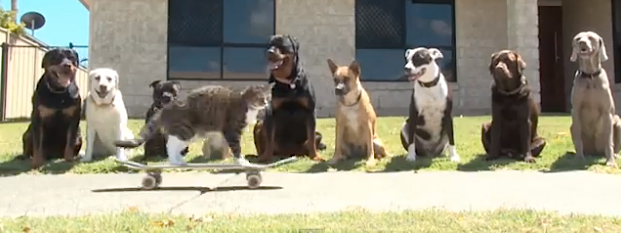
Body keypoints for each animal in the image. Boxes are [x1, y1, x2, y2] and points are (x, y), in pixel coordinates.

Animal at [114, 83, 274, 165]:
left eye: (269, 97)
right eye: (261, 98)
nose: (266, 103)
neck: (245, 103)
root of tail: (167, 107)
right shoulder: (232, 130)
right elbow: (236, 147)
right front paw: (241, 161)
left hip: (190, 134)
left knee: (176, 145)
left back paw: (179, 160)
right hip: (186, 129)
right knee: (171, 144)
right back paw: (175, 161)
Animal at [254, 34, 326, 163]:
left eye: (282, 45)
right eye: (269, 45)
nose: (270, 51)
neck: (288, 82)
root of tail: (289, 152)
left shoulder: (310, 111)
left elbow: (311, 137)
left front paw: (316, 156)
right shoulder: (271, 112)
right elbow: (269, 138)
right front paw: (266, 157)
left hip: (316, 136)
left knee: (313, 138)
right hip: (259, 124)